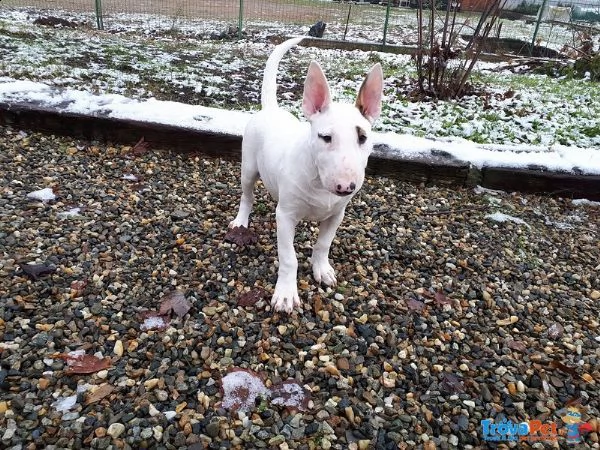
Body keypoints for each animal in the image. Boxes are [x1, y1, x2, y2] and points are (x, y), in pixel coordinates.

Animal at [230, 37, 384, 312]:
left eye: (363, 137)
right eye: (326, 137)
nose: (346, 187)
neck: (319, 182)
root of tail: (271, 109)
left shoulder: (336, 215)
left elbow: (323, 244)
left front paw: (322, 270)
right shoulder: (285, 216)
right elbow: (288, 258)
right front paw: (285, 295)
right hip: (247, 168)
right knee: (247, 196)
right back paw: (241, 220)